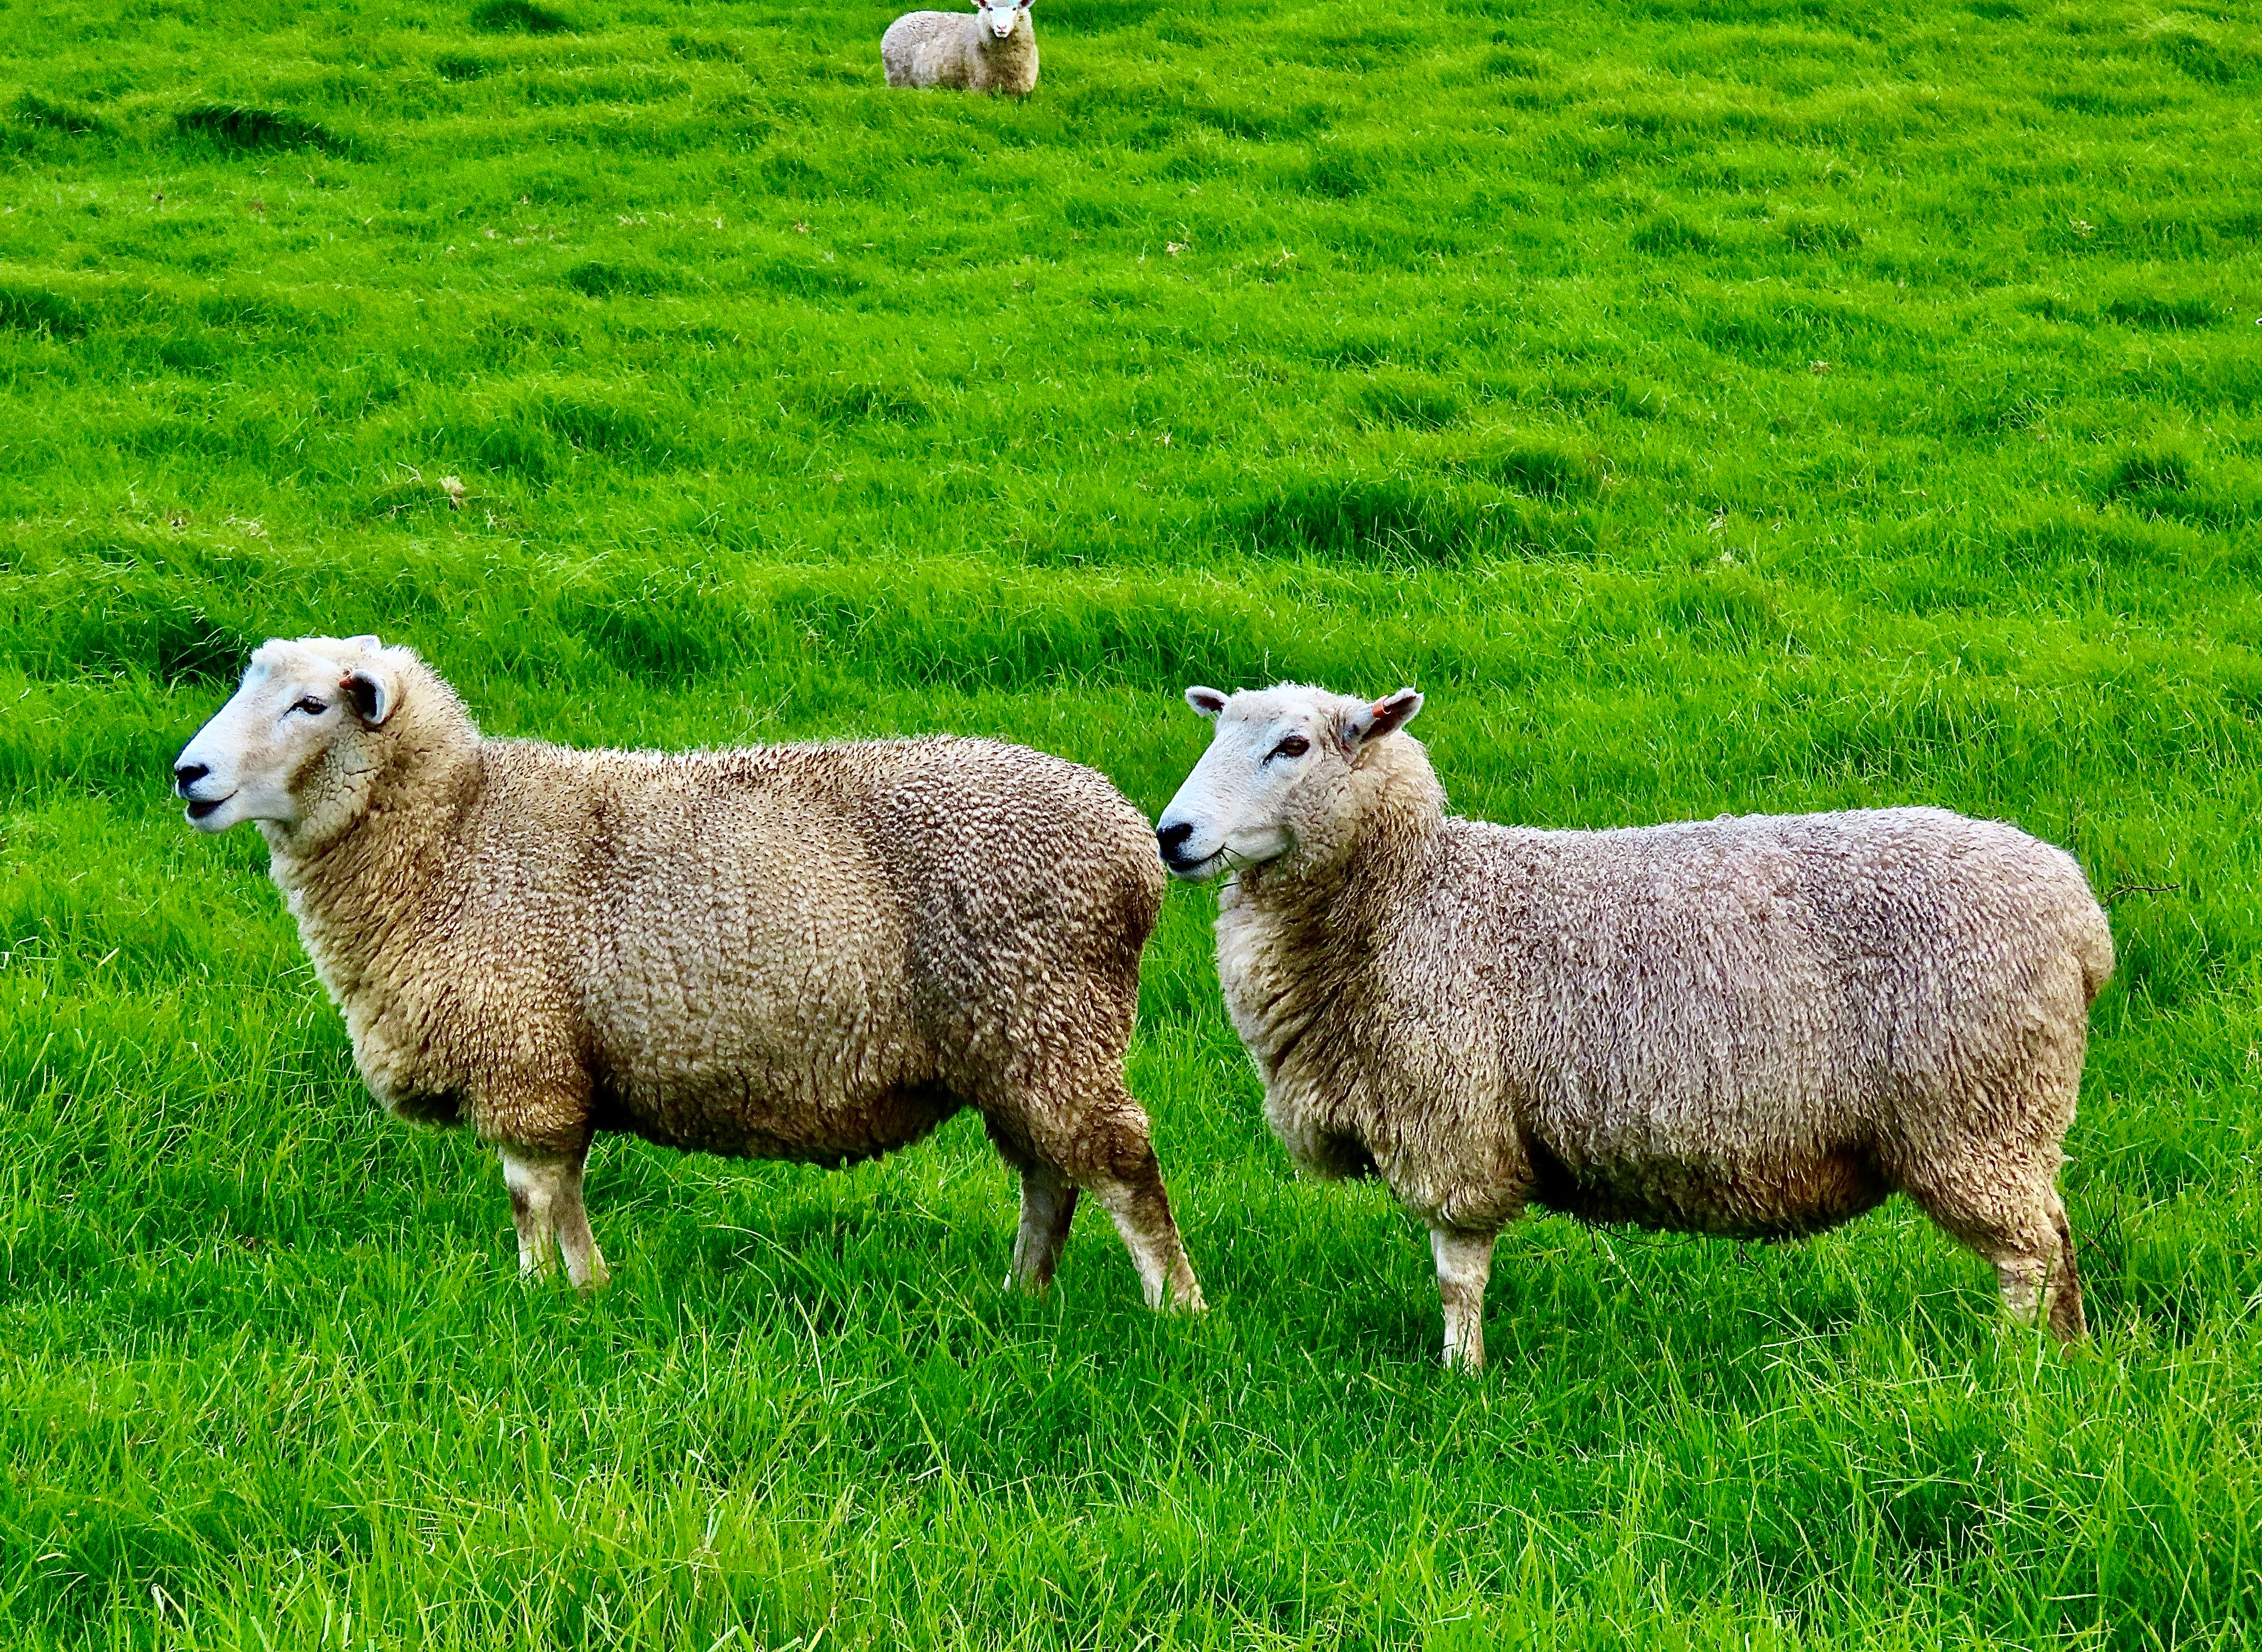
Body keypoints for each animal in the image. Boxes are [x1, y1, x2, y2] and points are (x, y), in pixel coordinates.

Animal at [171, 635, 1204, 1312]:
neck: (454, 833)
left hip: (1046, 1014)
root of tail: (1128, 840)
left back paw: (1176, 1310)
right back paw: (1023, 1294)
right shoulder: (544, 1067)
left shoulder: (524, 1062)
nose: (188, 775)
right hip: (1013, 1041)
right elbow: (549, 1194)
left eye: (311, 705)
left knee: (1120, 1164)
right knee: (1048, 1175)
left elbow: (534, 1194)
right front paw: (571, 1293)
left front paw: (553, 1300)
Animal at [882, 0, 1037, 94]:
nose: (1002, 27)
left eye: (1015, 8)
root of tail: (899, 21)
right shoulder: (978, 88)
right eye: (990, 8)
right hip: (899, 81)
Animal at [1155, 682, 2112, 1370]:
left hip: (1976, 1112)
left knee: (2028, 1255)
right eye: (1215, 734)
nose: (1173, 834)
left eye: (1294, 746)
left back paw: (2015, 1371)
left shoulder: (1453, 1122)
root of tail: (2081, 915)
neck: (1411, 892)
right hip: (2007, 1120)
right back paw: (2067, 1360)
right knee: (2057, 1243)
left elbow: (1457, 1274)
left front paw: (1459, 1378)